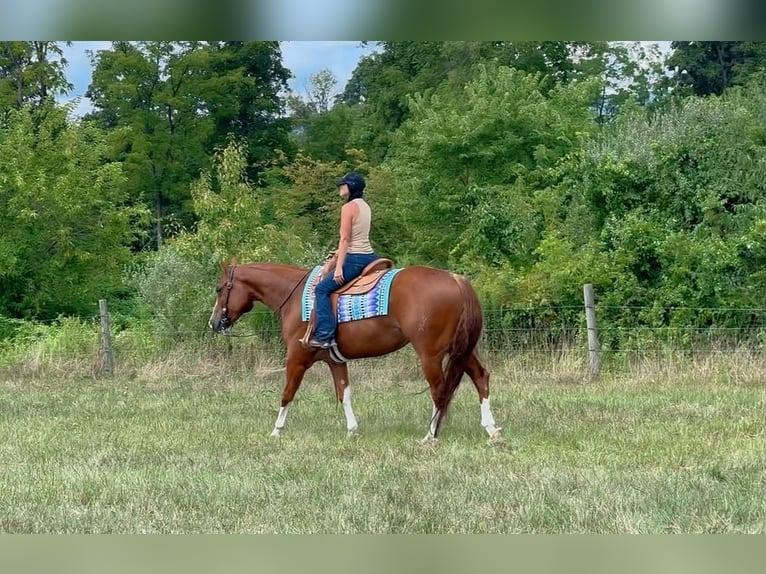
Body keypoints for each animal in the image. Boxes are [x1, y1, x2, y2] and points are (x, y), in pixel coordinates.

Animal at [208, 260, 502, 443]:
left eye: (220, 288)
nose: (214, 322)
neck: (295, 296)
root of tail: (455, 279)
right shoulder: (335, 361)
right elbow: (344, 394)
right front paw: (352, 430)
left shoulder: (297, 359)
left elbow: (287, 393)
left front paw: (276, 431)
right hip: (462, 350)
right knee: (480, 377)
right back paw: (491, 429)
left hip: (430, 354)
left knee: (440, 391)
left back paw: (430, 435)